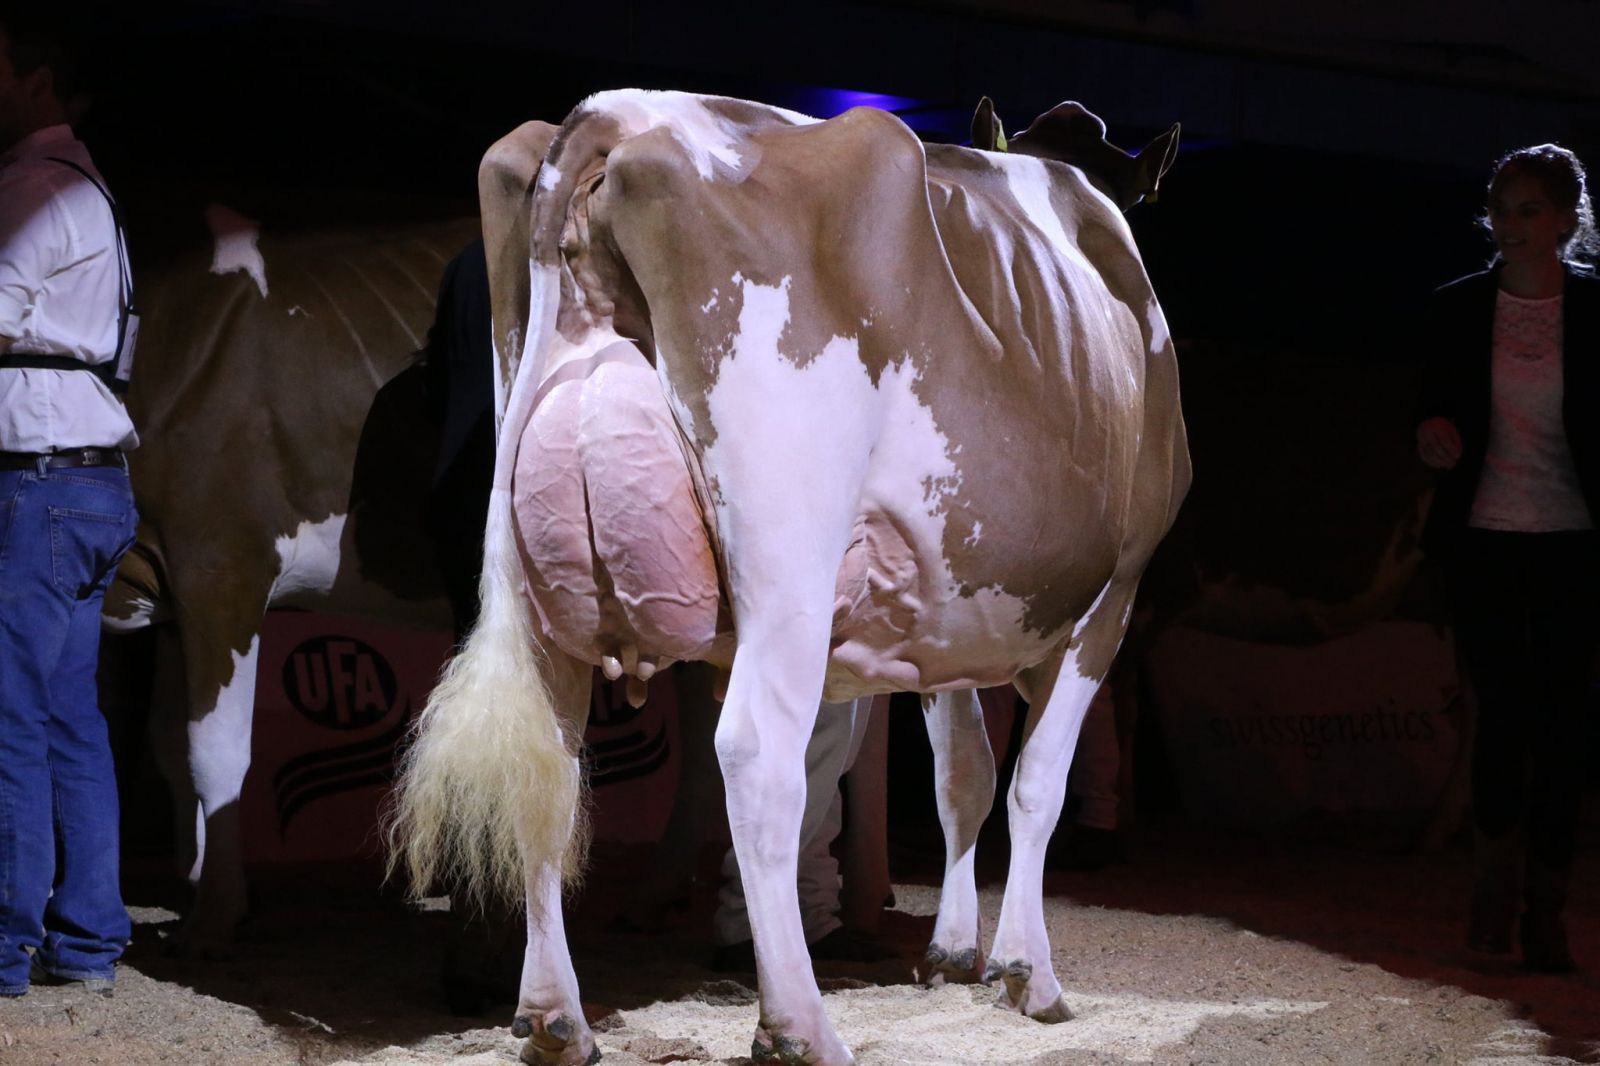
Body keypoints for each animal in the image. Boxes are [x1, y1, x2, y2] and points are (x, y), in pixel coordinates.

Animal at [392, 90, 1189, 1066]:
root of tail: (619, 115)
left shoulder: (947, 615)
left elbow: (962, 775)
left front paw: (955, 952)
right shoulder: (1116, 591)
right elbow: (1035, 783)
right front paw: (1027, 974)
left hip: (527, 566)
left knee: (544, 758)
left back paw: (555, 1017)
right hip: (788, 566)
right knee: (757, 758)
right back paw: (799, 1024)